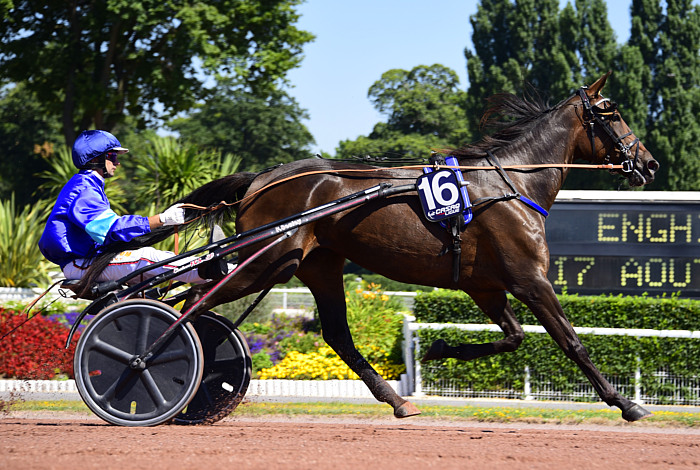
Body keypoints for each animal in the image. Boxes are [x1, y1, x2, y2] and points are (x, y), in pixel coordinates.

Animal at [178, 71, 660, 420]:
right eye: (611, 112)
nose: (650, 163)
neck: (513, 184)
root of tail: (259, 179)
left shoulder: (485, 286)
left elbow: (514, 337)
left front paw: (441, 348)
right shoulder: (531, 280)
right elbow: (572, 342)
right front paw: (626, 404)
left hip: (318, 264)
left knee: (336, 333)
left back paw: (398, 401)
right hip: (268, 262)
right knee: (193, 303)